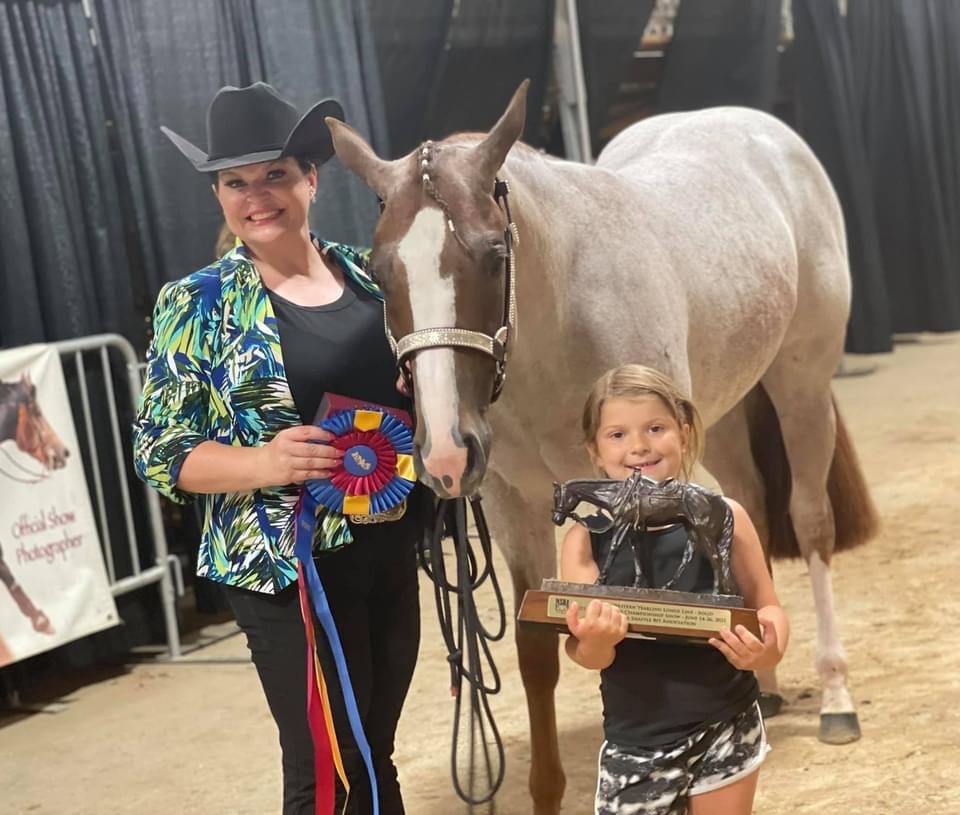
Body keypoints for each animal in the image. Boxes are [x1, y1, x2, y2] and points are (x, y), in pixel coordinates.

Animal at [328, 79, 876, 812]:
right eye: (380, 270)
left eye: (492, 254)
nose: (445, 453)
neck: (558, 319)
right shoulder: (511, 502)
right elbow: (537, 654)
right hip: (724, 412)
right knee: (748, 510)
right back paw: (761, 681)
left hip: (802, 383)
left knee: (811, 522)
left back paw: (836, 698)